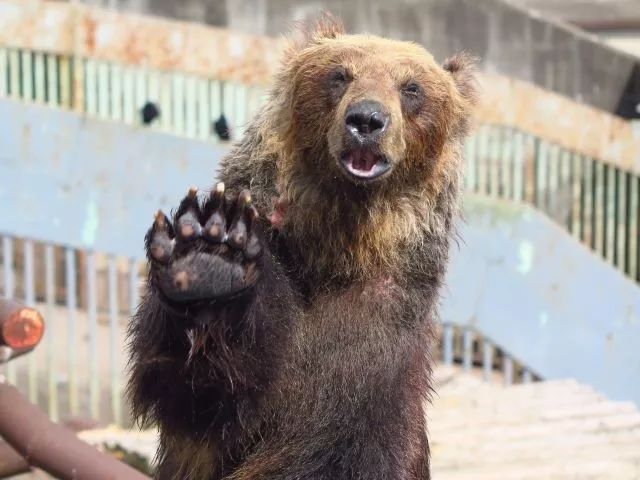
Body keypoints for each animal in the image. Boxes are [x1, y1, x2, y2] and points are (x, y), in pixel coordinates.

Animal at [126, 15, 476, 480]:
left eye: (411, 87)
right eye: (340, 75)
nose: (367, 120)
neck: (335, 244)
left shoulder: (380, 332)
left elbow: (339, 438)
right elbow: (196, 393)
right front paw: (208, 258)